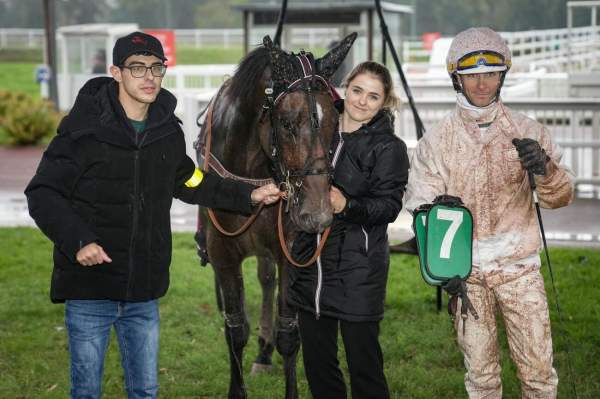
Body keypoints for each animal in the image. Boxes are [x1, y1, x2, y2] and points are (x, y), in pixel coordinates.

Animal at [196, 35, 356, 399]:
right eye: (286, 122)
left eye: (334, 121)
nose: (317, 214)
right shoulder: (223, 254)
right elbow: (235, 328)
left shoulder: (289, 250)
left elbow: (288, 332)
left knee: (268, 279)